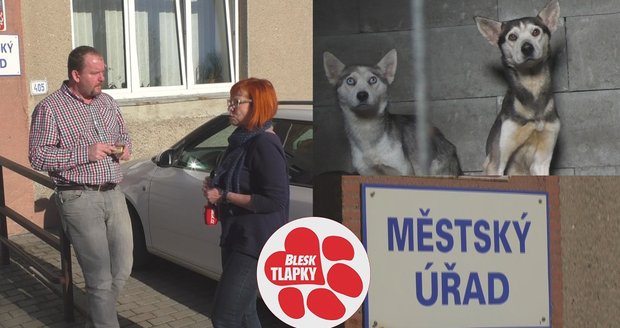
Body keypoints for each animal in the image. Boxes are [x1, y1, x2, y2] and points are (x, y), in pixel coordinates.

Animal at [324, 48, 460, 176]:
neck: (366, 126)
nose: (362, 95)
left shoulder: (403, 170)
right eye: (350, 81)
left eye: (373, 80)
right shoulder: (366, 172)